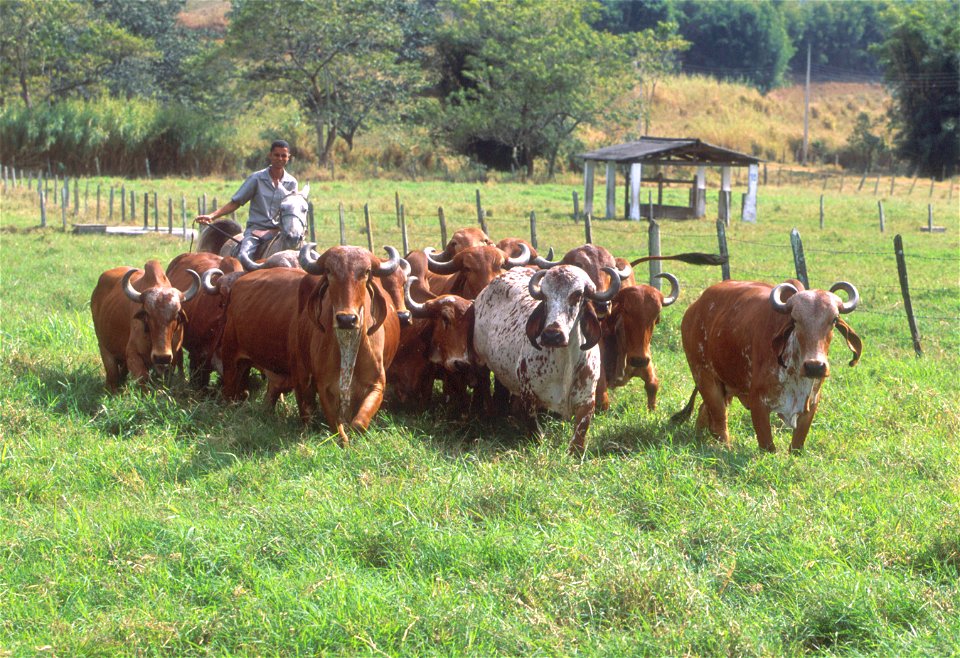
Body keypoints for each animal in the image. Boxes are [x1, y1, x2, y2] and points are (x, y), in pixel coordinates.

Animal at [92, 258, 201, 392]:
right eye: (148, 313)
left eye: (176, 314)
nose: (161, 357)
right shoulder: (133, 355)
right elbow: (143, 379)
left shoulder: (173, 356)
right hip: (104, 347)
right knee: (112, 375)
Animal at [288, 243, 402, 444]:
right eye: (329, 271)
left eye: (366, 272)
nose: (346, 319)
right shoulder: (324, 387)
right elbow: (336, 426)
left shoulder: (377, 385)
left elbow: (359, 424)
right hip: (301, 372)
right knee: (306, 408)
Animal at [474, 264, 624, 454]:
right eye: (545, 296)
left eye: (577, 294)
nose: (552, 335)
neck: (565, 363)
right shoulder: (528, 394)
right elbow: (534, 428)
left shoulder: (587, 400)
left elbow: (580, 435)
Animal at [676, 276, 864, 452]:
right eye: (795, 320)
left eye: (834, 320)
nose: (815, 366)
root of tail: (695, 307)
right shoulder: (758, 403)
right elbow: (768, 446)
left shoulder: (811, 404)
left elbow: (796, 446)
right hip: (704, 377)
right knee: (720, 421)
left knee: (705, 412)